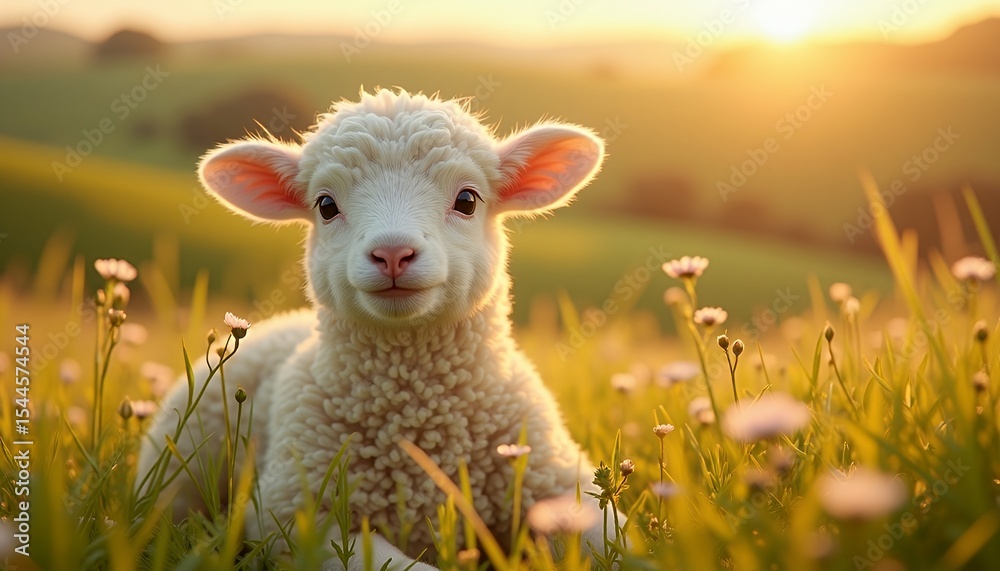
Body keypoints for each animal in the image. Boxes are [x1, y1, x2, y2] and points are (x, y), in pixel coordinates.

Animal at [137, 88, 620, 570]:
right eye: (326, 206)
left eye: (467, 200)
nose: (392, 252)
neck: (417, 416)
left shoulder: (558, 482)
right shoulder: (299, 515)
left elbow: (610, 541)